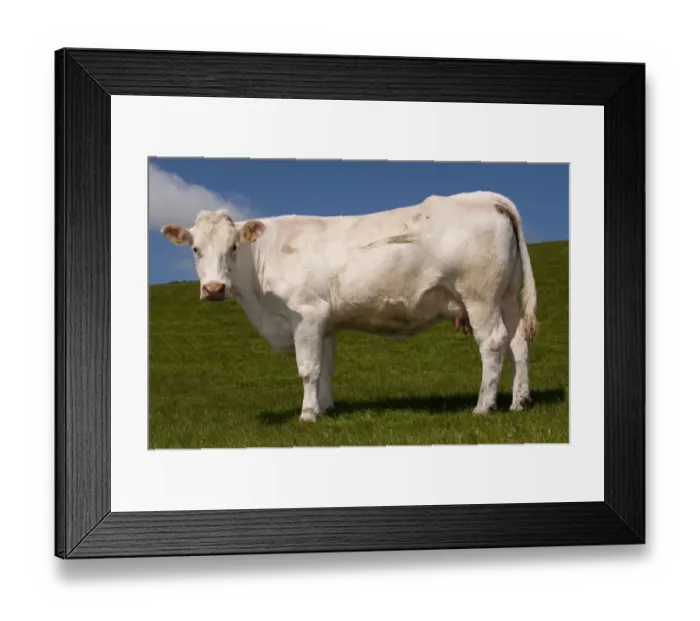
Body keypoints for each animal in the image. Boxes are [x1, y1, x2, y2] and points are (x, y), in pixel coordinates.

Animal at [160, 190, 538, 422]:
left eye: (233, 248)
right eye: (195, 249)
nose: (213, 289)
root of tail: (484, 197)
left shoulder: (306, 315)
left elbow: (307, 369)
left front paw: (307, 414)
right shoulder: (324, 323)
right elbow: (325, 368)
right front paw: (325, 408)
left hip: (480, 298)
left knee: (493, 343)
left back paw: (483, 407)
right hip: (507, 296)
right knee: (517, 343)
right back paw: (519, 402)